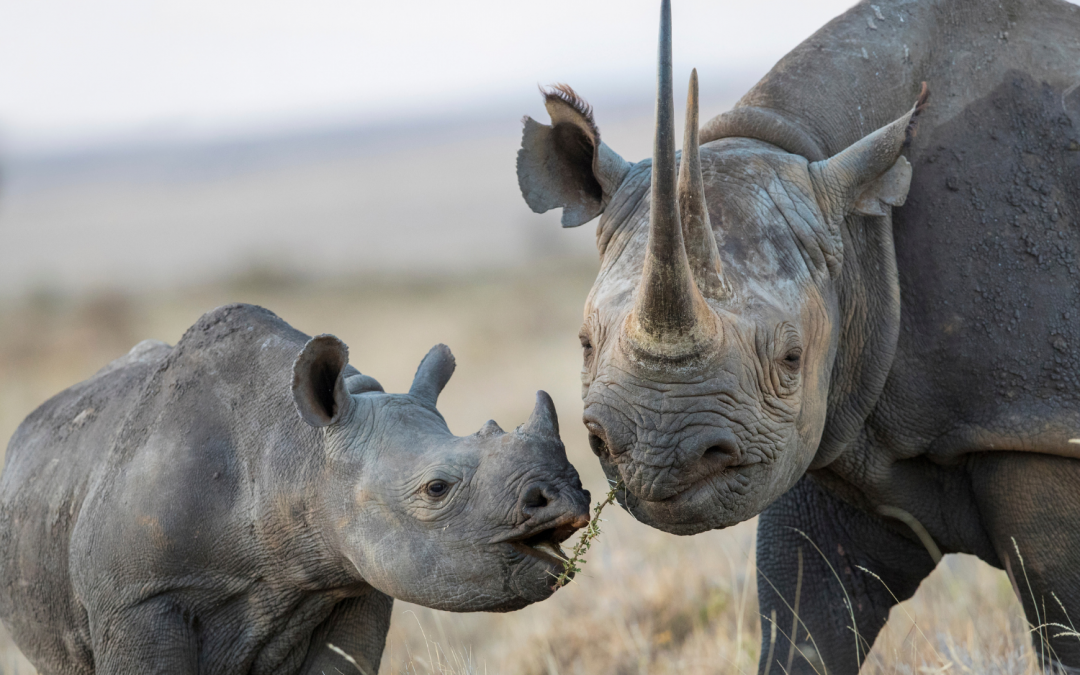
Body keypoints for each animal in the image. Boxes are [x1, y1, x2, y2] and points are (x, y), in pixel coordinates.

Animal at [517, 0, 1080, 671]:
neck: (860, 235)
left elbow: (1063, 620)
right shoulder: (826, 429)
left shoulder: (1033, 423)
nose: (659, 456)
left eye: (791, 356)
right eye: (584, 343)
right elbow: (804, 621)